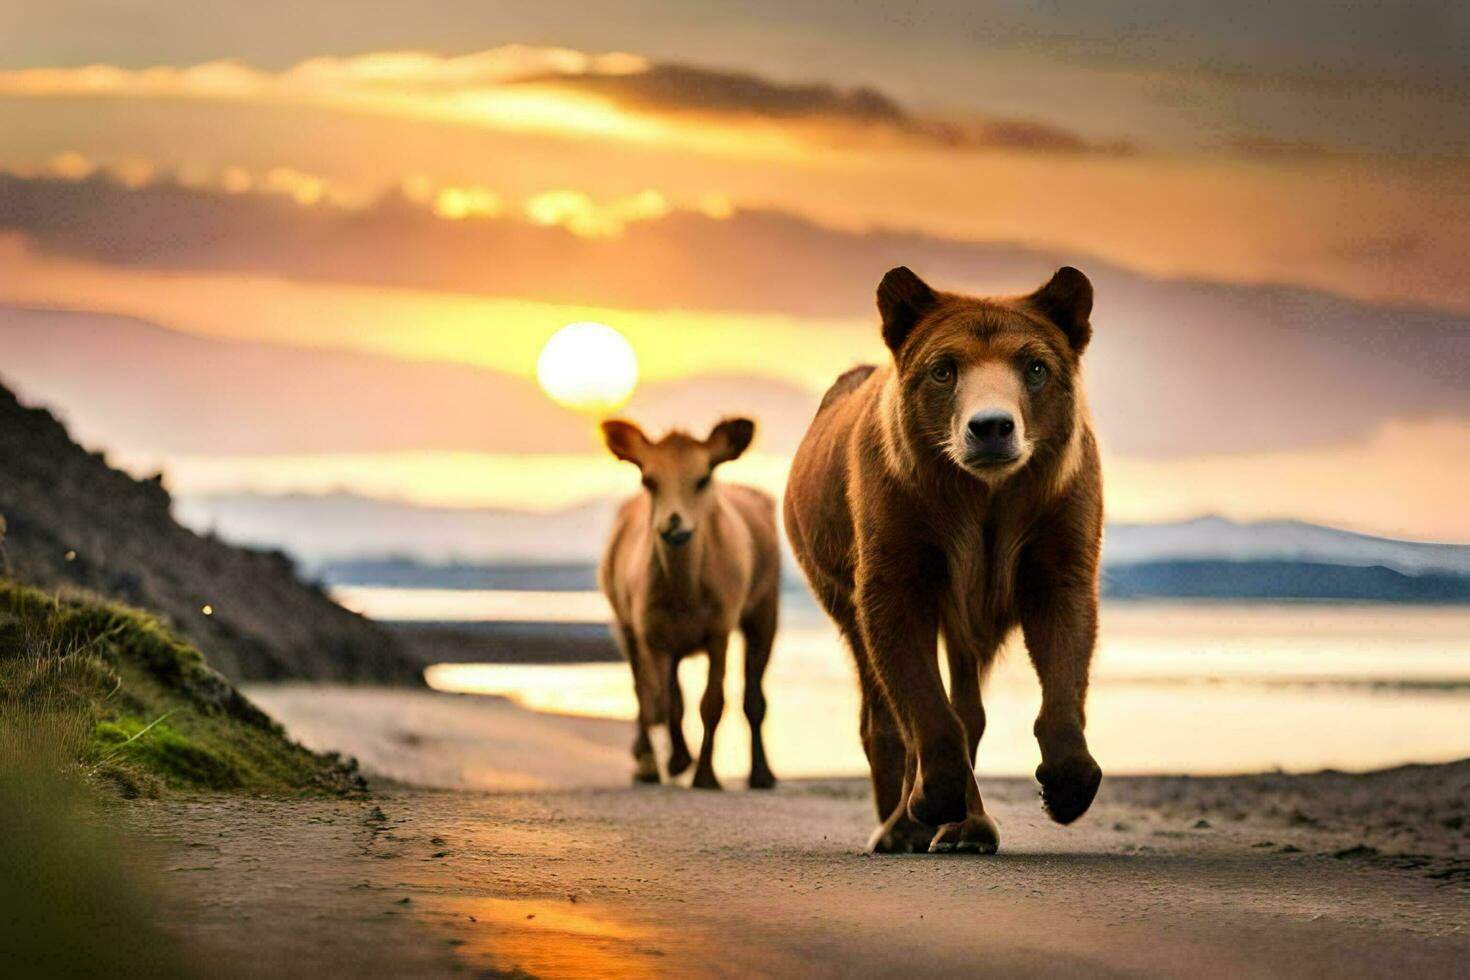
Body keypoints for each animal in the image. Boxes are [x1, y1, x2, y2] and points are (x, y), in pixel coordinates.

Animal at [787, 264, 1099, 852]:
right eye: (943, 369)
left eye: (1035, 366)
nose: (991, 426)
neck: (985, 499)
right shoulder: (901, 549)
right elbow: (917, 689)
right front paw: (933, 797)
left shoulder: (1052, 536)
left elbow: (1065, 648)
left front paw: (1067, 787)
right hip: (835, 579)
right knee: (879, 698)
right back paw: (903, 826)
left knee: (967, 695)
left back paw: (966, 830)